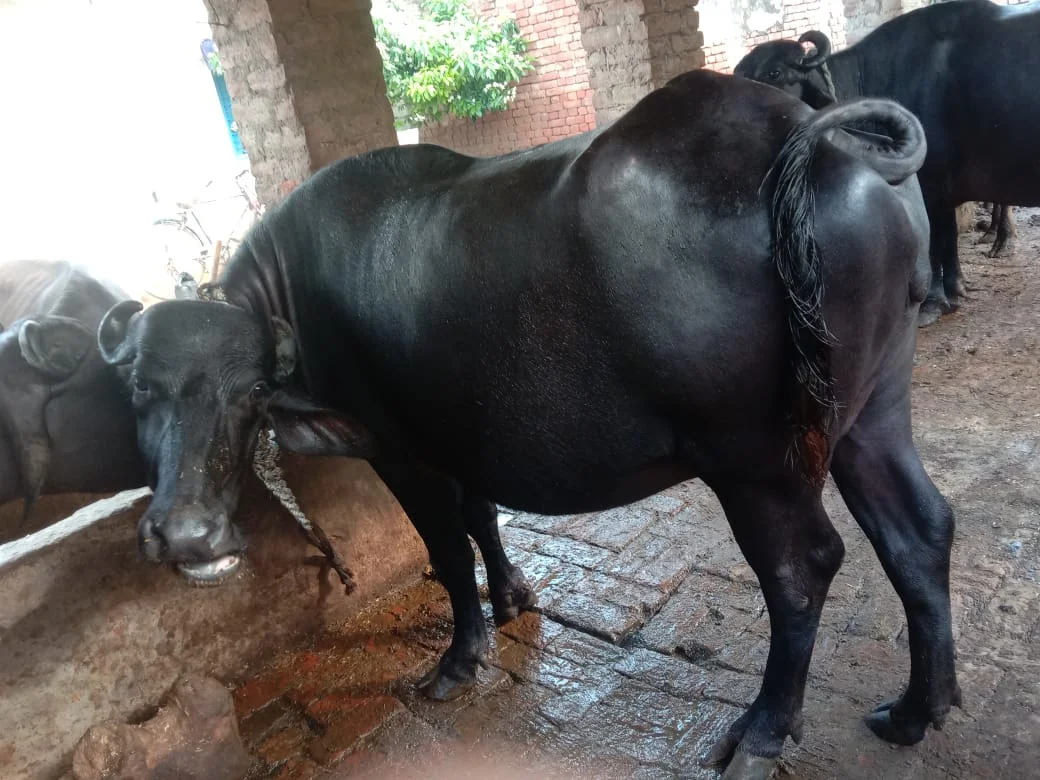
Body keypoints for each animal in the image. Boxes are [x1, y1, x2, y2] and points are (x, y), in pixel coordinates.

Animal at [97, 70, 959, 778]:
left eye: (246, 394)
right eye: (139, 387)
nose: (183, 535)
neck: (297, 300)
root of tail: (815, 141)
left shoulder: (402, 453)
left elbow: (447, 553)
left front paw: (458, 659)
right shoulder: (458, 438)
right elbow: (483, 515)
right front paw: (514, 595)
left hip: (756, 458)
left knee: (802, 569)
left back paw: (764, 731)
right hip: (874, 405)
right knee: (919, 529)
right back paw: (919, 709)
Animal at [733, 0, 1040, 324]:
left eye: (774, 72)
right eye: (739, 71)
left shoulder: (932, 183)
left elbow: (935, 241)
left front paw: (933, 301)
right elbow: (949, 240)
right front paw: (956, 290)